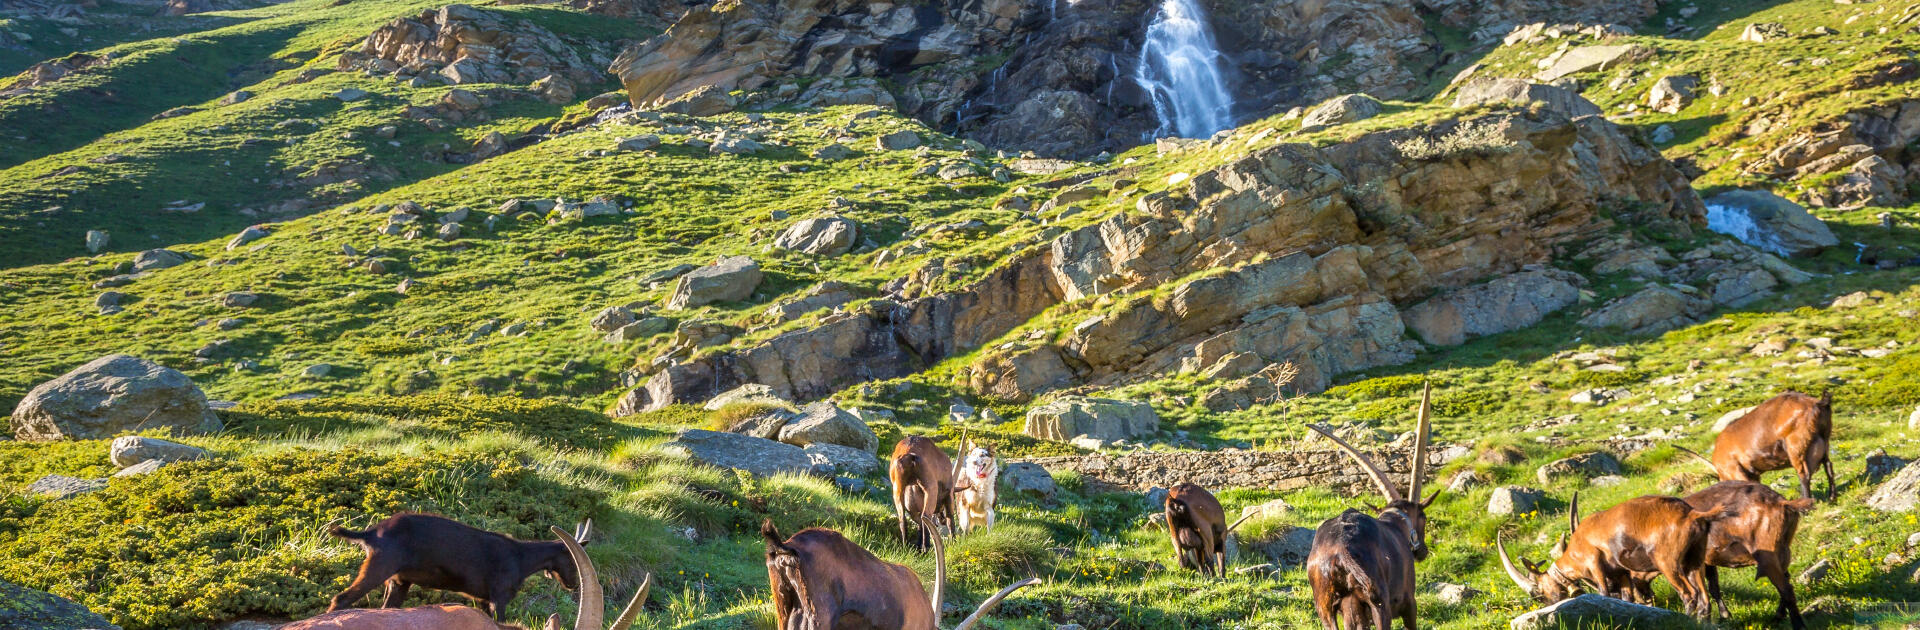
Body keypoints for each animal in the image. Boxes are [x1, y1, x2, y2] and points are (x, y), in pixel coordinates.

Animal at [328, 510, 583, 618]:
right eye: (572, 559)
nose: (574, 585)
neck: (520, 557)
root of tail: (371, 533)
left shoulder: (484, 601)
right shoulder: (498, 598)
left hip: (398, 581)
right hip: (379, 566)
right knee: (341, 599)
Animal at [1497, 495, 1743, 618]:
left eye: (1539, 594)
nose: (1551, 604)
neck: (1577, 544)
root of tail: (1692, 514)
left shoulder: (1595, 563)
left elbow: (1604, 593)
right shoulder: (1621, 573)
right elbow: (1625, 598)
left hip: (1668, 562)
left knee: (1689, 594)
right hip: (1694, 560)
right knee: (1703, 597)